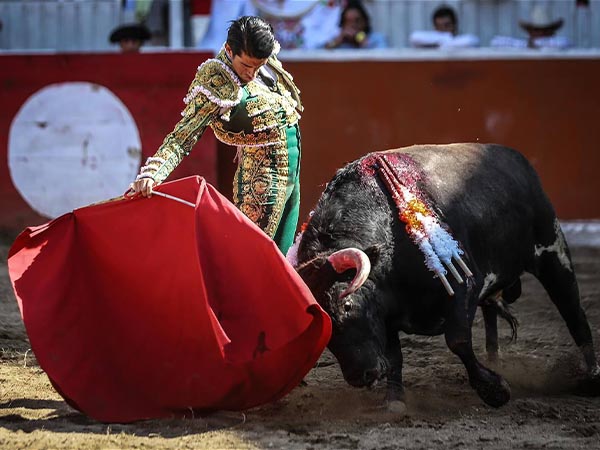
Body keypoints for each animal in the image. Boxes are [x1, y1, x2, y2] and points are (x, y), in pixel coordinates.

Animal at [290, 143, 600, 411]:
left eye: (347, 305)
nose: (361, 376)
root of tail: (518, 160)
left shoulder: (464, 285)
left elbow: (458, 340)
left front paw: (495, 390)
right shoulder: (386, 314)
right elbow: (394, 356)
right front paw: (395, 402)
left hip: (553, 252)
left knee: (574, 314)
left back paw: (591, 377)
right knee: (492, 317)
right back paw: (496, 360)